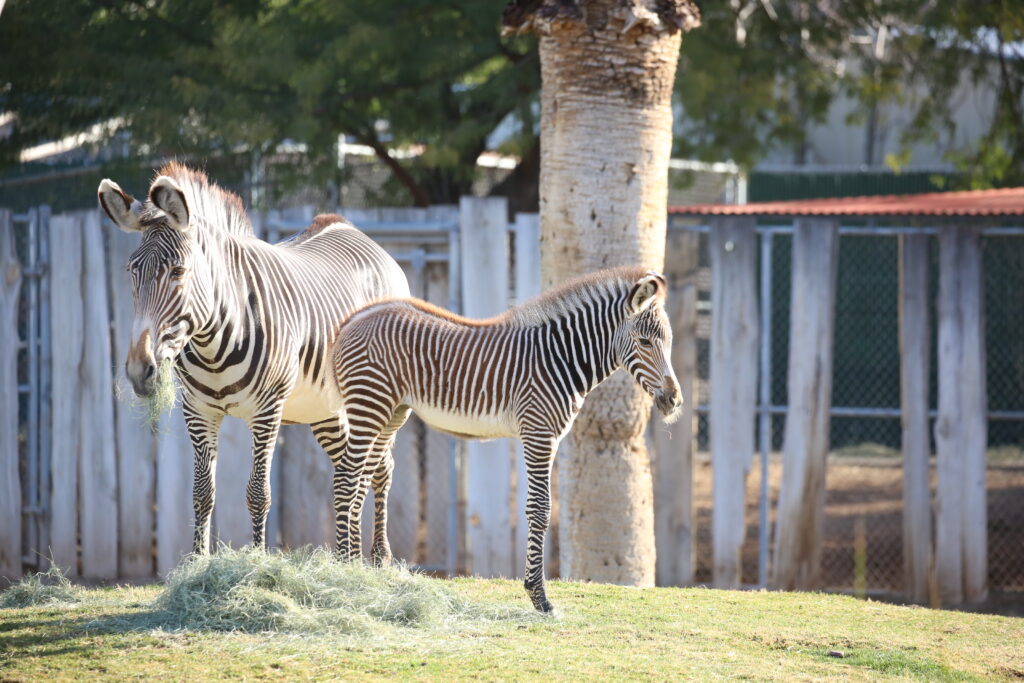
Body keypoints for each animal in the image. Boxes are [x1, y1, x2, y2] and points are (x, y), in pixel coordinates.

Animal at [97, 162, 409, 557]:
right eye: (131, 272)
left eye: (178, 272)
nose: (140, 371)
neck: (213, 345)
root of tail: (359, 235)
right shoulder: (198, 411)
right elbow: (202, 493)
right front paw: (197, 561)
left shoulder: (267, 411)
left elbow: (259, 493)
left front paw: (258, 559)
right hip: (326, 410)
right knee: (350, 473)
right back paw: (347, 558)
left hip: (382, 402)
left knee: (379, 468)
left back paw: (378, 556)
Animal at [331, 266, 679, 614]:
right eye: (644, 341)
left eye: (669, 341)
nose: (674, 400)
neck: (560, 359)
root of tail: (354, 319)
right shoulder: (539, 434)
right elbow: (539, 508)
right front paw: (539, 596)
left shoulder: (549, 436)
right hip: (369, 404)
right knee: (346, 477)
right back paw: (343, 570)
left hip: (391, 413)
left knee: (364, 477)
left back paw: (357, 570)